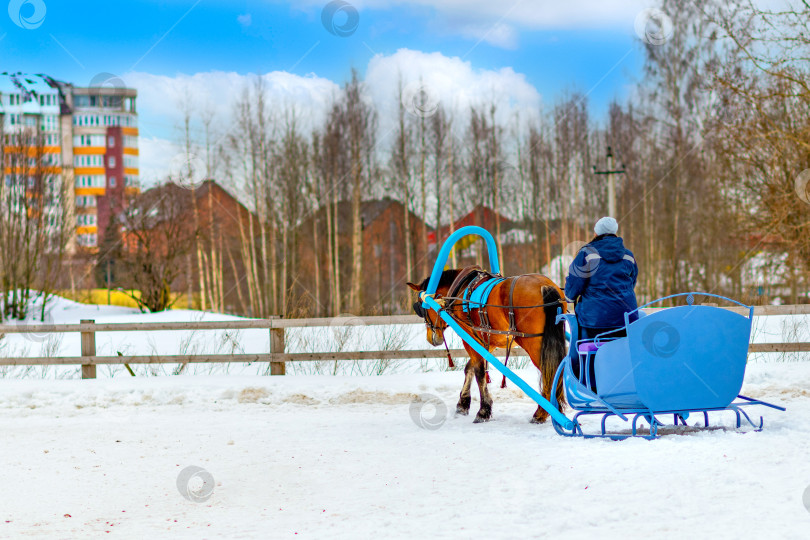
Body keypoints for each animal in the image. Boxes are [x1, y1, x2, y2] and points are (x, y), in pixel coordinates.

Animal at [404, 268, 568, 424]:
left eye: (421, 307)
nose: (431, 339)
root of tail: (545, 286)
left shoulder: (469, 337)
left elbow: (479, 372)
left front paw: (483, 411)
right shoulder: (486, 341)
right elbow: (469, 368)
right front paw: (463, 404)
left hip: (532, 343)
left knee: (550, 372)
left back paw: (541, 413)